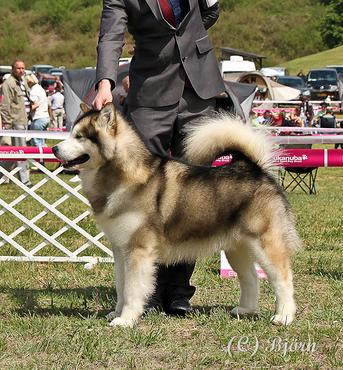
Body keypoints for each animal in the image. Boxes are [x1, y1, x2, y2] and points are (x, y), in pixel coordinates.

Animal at [52, 103, 302, 326]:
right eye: (71, 133)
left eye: (79, 136)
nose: (54, 149)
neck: (121, 175)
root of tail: (252, 167)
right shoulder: (120, 249)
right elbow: (121, 286)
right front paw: (117, 312)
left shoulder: (138, 250)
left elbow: (132, 290)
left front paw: (126, 320)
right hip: (237, 248)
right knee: (250, 278)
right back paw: (244, 310)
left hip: (265, 243)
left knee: (283, 279)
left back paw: (284, 316)